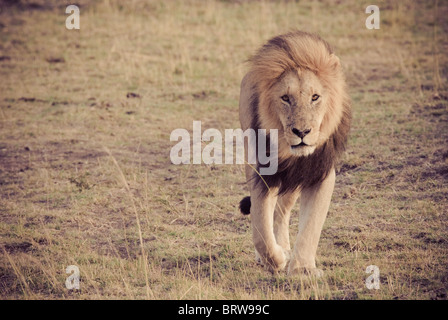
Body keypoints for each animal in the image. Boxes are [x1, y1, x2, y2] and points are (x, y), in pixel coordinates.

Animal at [240, 31, 352, 276]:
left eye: (315, 97)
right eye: (285, 98)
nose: (302, 132)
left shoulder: (320, 173)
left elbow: (311, 225)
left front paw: (302, 270)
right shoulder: (263, 174)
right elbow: (261, 230)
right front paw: (276, 259)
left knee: (281, 212)